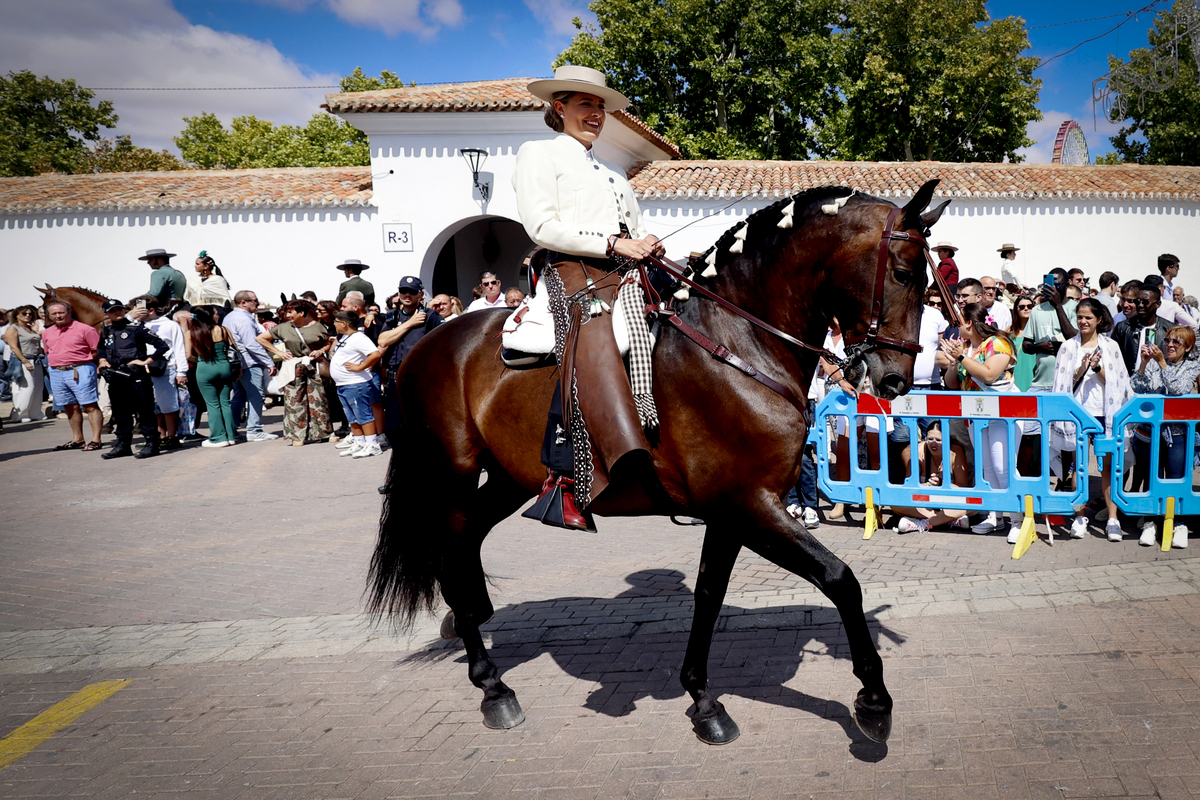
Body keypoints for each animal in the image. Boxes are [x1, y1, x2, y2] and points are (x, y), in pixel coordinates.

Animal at [369, 179, 950, 743]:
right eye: (904, 273)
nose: (896, 379)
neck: (736, 343)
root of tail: (425, 344)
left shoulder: (730, 512)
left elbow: (709, 594)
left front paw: (703, 698)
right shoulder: (752, 505)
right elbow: (840, 580)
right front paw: (873, 699)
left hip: (508, 479)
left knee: (464, 540)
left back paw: (474, 627)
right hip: (450, 473)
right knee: (448, 550)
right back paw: (492, 686)